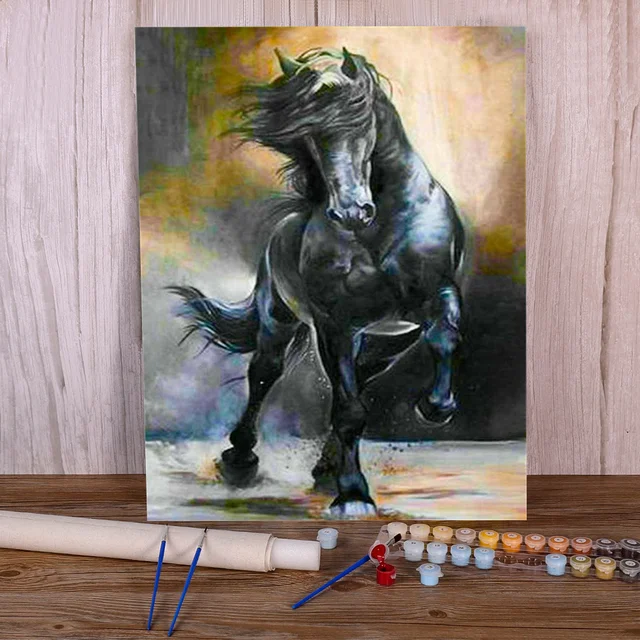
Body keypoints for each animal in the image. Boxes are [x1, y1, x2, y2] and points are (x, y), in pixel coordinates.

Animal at [169, 47, 465, 517]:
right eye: (309, 133)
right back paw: (240, 460)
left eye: (362, 121)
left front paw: (436, 407)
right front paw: (354, 496)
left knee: (360, 378)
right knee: (265, 373)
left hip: (387, 341)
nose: (351, 212)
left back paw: (324, 467)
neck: (379, 230)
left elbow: (445, 337)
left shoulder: (436, 294)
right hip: (280, 320)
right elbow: (347, 411)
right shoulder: (335, 323)